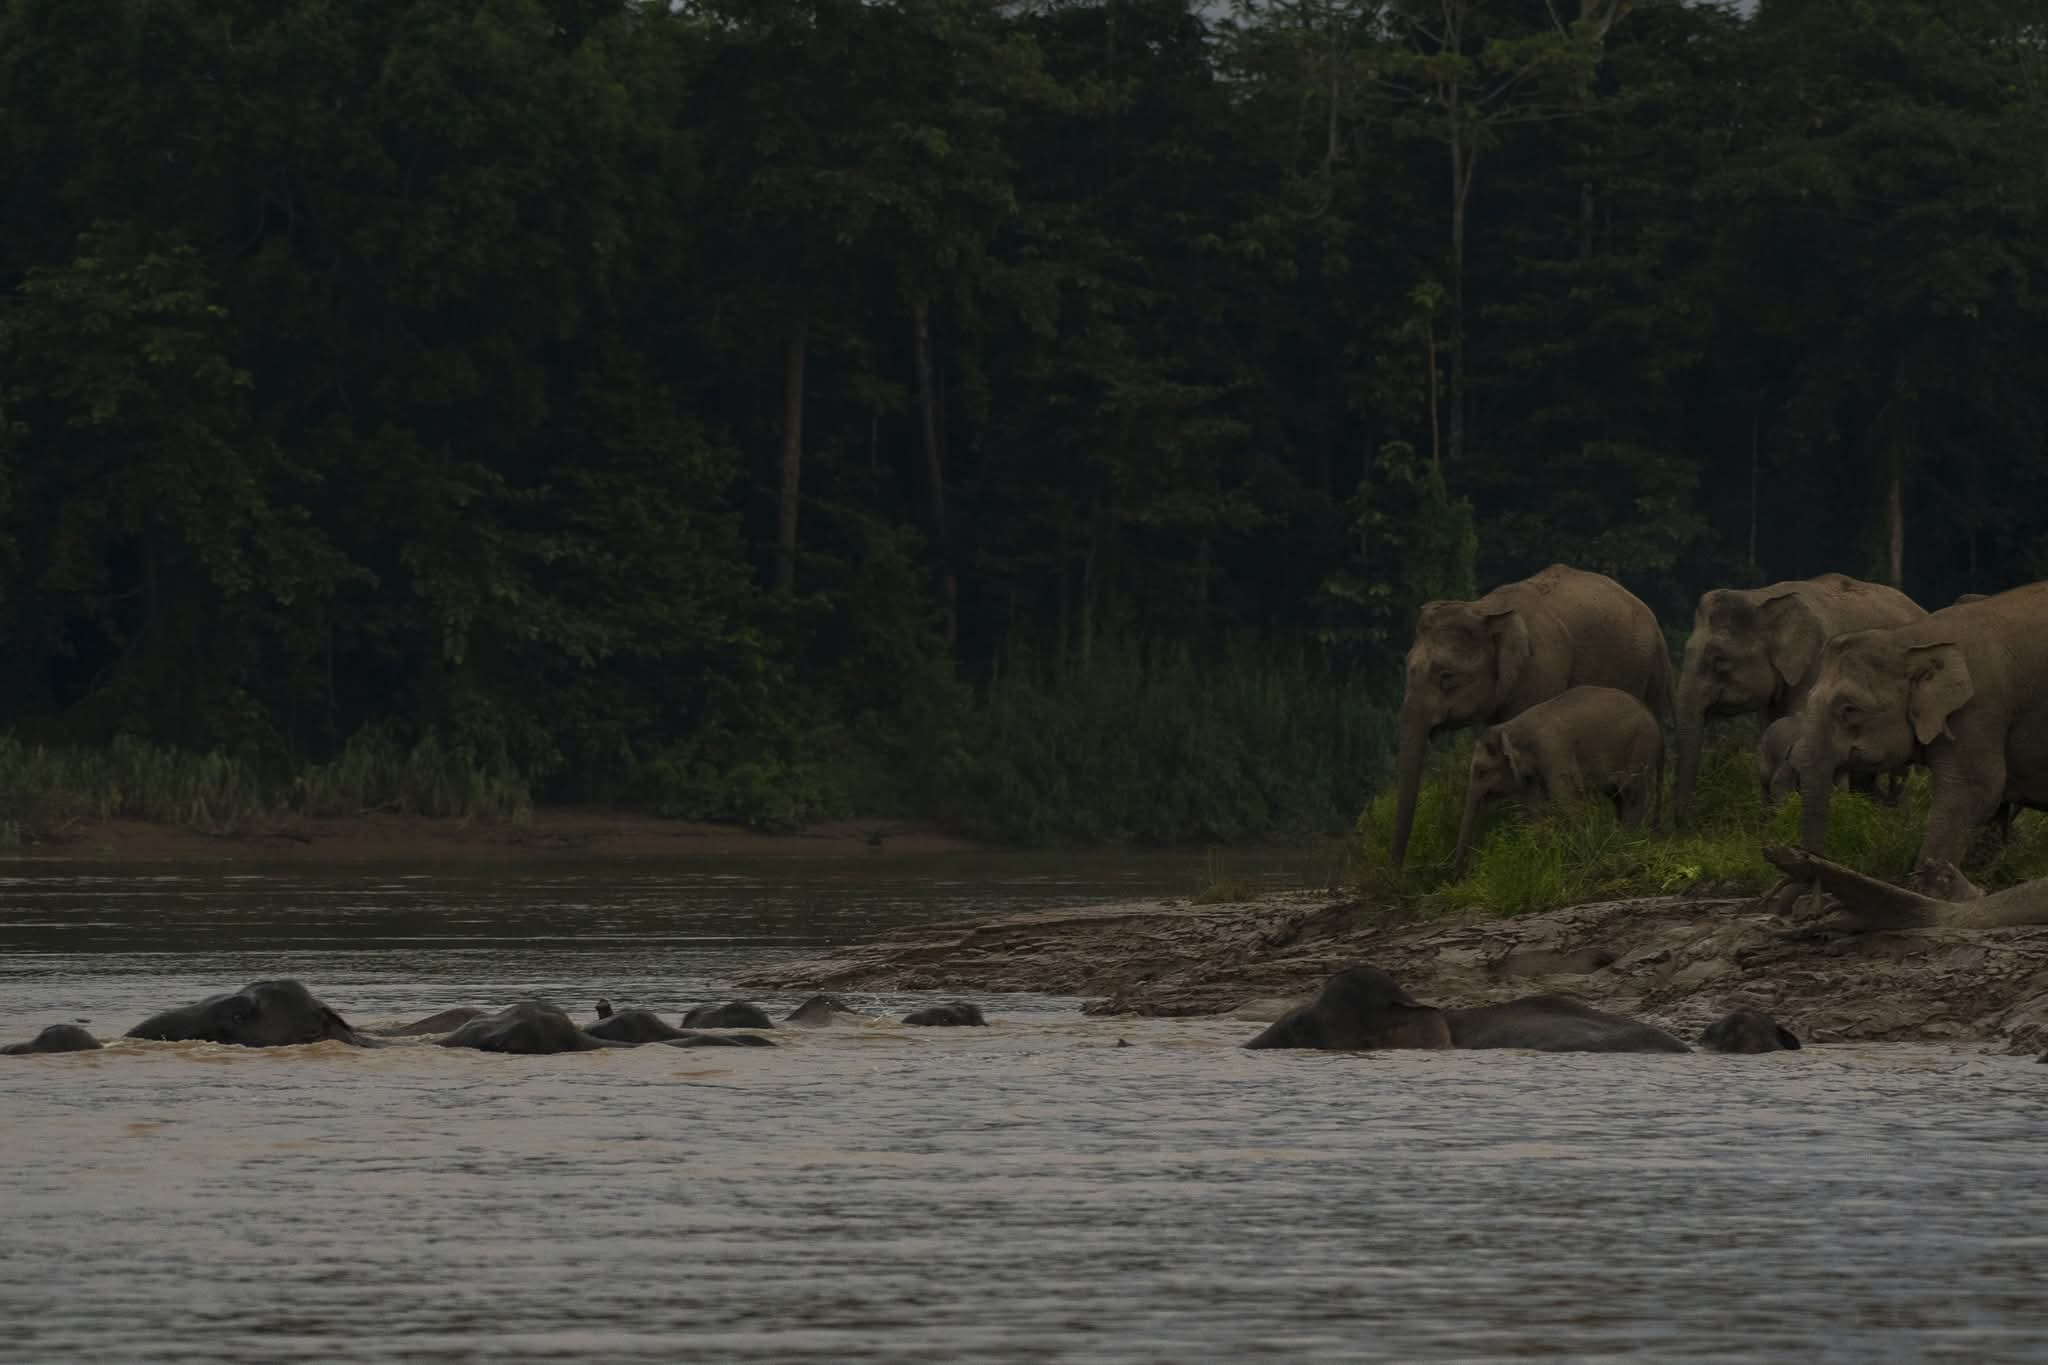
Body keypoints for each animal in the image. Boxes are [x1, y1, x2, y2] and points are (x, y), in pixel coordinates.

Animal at [1453, 685, 1662, 872]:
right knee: (1617, 797)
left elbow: (1566, 801)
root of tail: (1651, 715)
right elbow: (1535, 807)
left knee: (1632, 795)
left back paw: (1630, 841)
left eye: (1482, 772)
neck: (1512, 727)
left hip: (1640, 747)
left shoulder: (1554, 750)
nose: (1460, 873)